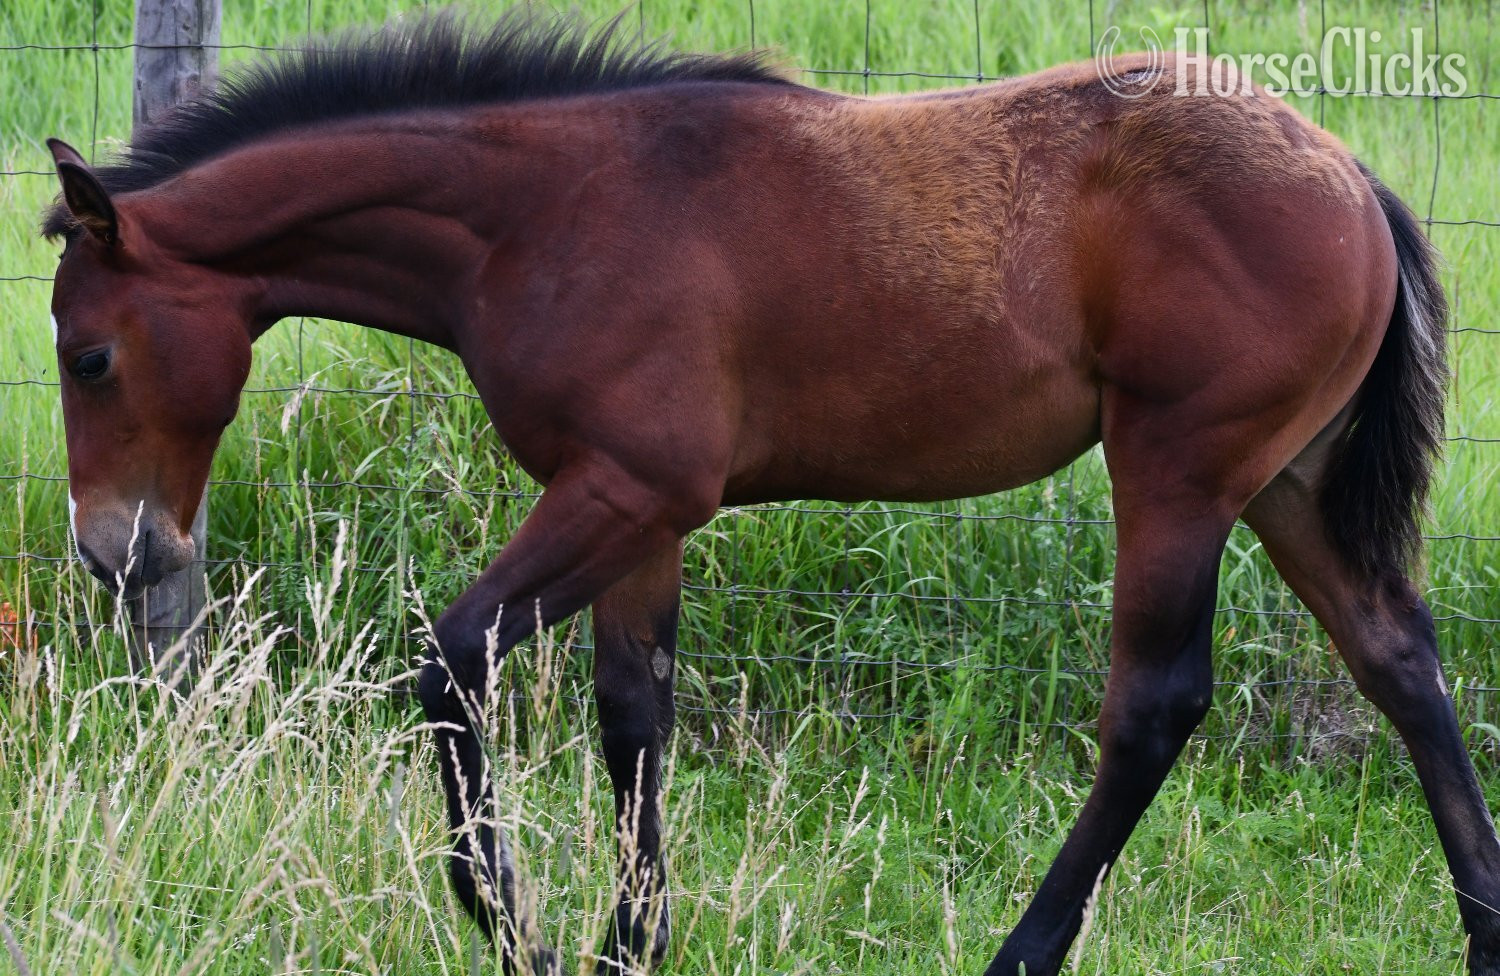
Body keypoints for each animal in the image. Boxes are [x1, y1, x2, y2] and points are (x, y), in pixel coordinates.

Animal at [41, 9, 1500, 975]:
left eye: (88, 353)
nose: (116, 554)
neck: (544, 217)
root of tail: (1349, 178)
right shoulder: (642, 513)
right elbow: (634, 716)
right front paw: (627, 943)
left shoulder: (624, 488)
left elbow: (451, 658)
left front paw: (512, 923)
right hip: (1288, 485)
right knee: (1400, 664)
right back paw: (1482, 930)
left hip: (1180, 471)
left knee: (1154, 706)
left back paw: (1021, 952)